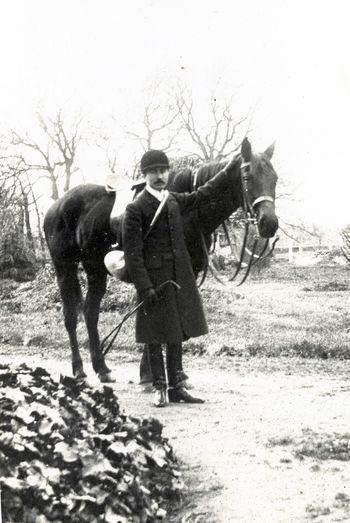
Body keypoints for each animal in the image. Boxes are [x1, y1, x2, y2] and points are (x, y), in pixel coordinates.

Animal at [44, 138, 278, 384]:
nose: (269, 223)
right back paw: (79, 370)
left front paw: (170, 373)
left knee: (90, 313)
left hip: (95, 269)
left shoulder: (186, 273)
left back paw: (102, 368)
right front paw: (150, 375)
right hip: (65, 268)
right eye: (247, 177)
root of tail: (57, 205)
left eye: (275, 178)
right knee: (71, 317)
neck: (188, 210)